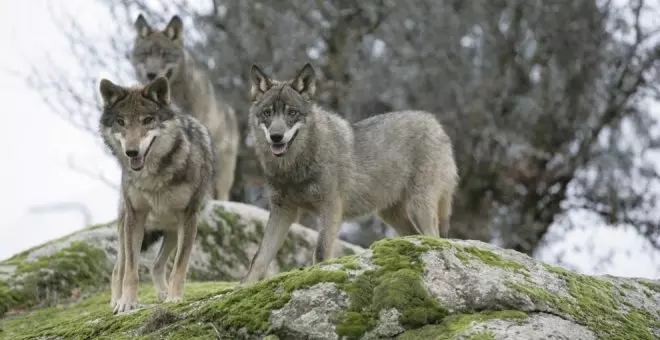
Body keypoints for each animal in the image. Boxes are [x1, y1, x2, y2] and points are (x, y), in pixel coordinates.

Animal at [98, 75, 214, 314]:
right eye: (121, 122)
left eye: (147, 120)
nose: (131, 152)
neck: (153, 176)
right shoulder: (135, 217)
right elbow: (131, 270)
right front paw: (127, 303)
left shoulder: (189, 217)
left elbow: (179, 265)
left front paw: (174, 298)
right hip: (126, 226)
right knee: (118, 269)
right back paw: (116, 300)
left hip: (173, 230)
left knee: (156, 264)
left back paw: (163, 293)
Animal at [241, 63, 458, 284]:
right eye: (267, 113)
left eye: (292, 112)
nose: (276, 137)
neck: (293, 168)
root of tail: (435, 123)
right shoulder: (282, 211)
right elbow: (259, 258)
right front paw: (244, 286)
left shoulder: (331, 207)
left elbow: (321, 252)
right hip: (391, 214)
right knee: (416, 235)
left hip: (420, 205)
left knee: (434, 236)